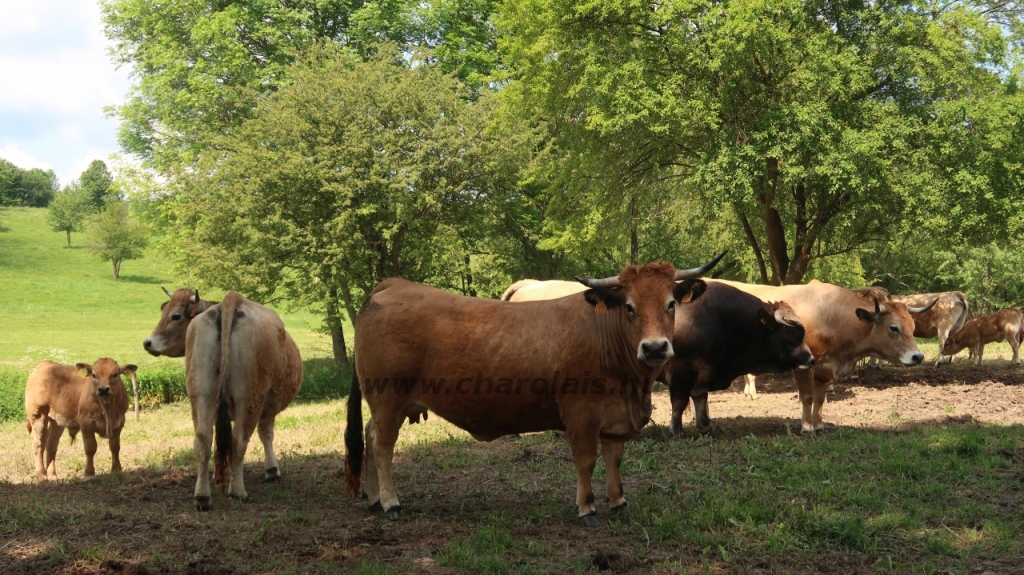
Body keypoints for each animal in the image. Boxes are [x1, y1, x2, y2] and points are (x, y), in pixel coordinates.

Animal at [346, 252, 729, 527]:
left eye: (671, 303)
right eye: (630, 306)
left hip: (387, 404)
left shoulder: (615, 417)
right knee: (382, 445)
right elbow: (586, 461)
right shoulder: (581, 414)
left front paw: (618, 500)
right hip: (387, 398)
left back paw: (373, 498)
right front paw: (587, 509)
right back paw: (391, 502)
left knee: (369, 434)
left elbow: (614, 459)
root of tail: (394, 285)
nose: (654, 348)